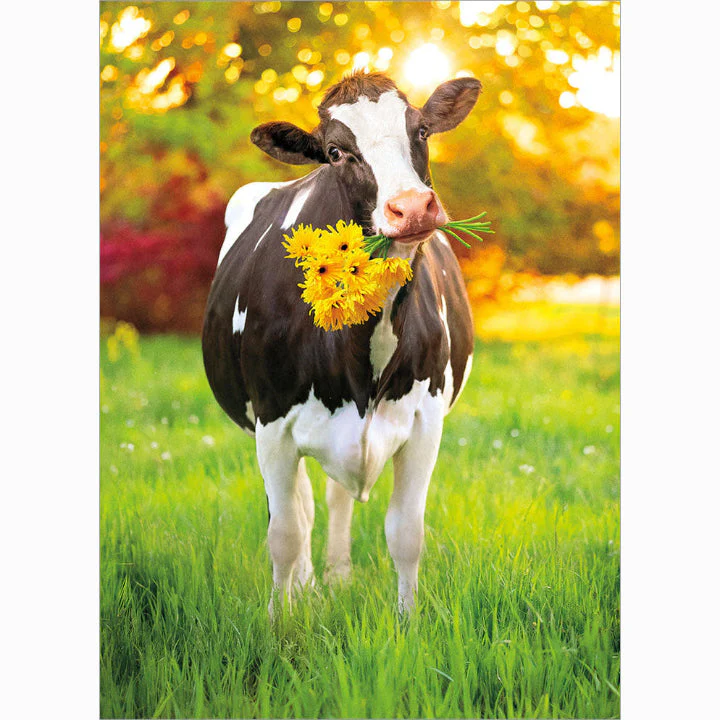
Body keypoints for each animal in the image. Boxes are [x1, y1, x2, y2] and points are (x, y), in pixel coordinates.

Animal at [202, 71, 480, 613]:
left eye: (420, 130)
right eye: (335, 152)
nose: (412, 207)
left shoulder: (425, 421)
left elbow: (406, 533)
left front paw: (408, 620)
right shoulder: (272, 423)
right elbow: (284, 535)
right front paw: (280, 620)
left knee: (331, 496)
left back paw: (336, 575)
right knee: (301, 507)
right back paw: (307, 587)